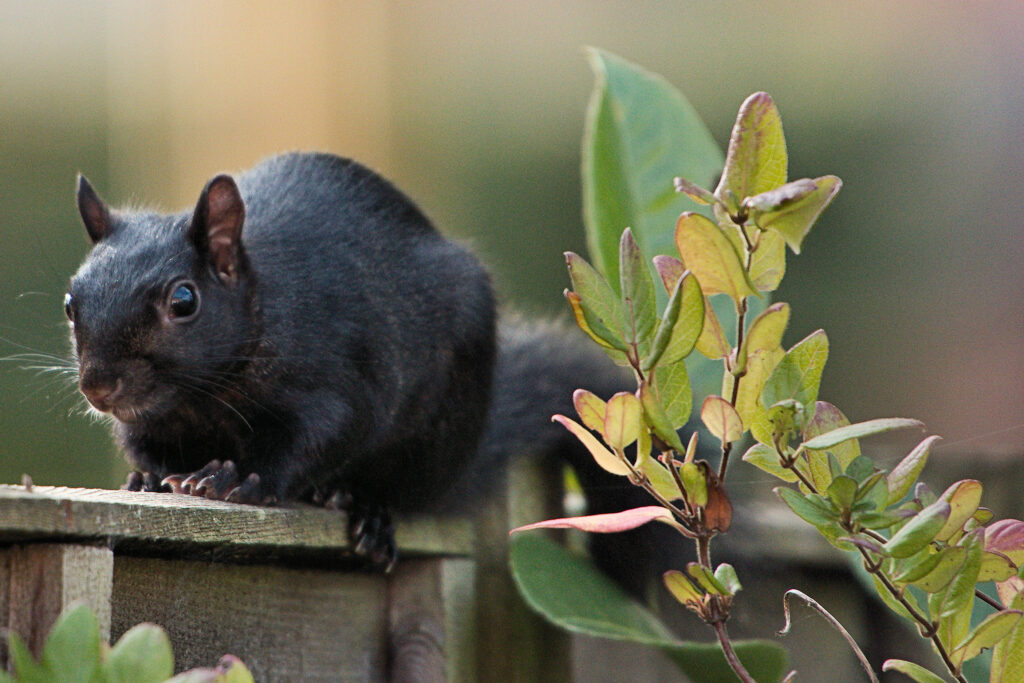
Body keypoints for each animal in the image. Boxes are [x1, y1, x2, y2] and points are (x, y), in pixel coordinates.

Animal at [66, 152, 638, 573]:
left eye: (183, 301)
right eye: (71, 302)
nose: (99, 387)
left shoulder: (338, 382)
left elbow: (323, 434)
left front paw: (237, 478)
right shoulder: (149, 420)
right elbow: (146, 448)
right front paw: (148, 478)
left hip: (437, 433)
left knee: (402, 491)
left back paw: (363, 507)